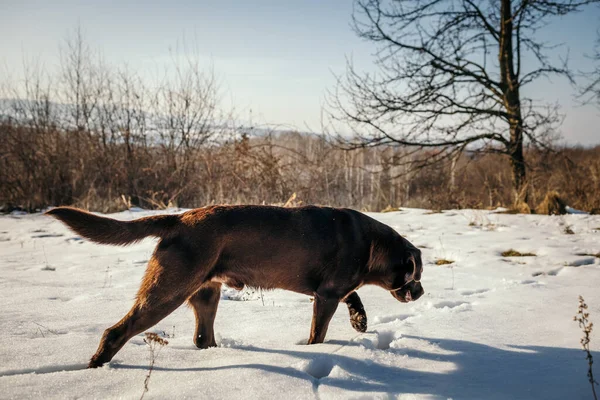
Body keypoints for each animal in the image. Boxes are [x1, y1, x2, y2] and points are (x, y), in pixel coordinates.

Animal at [45, 205, 422, 368]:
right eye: (416, 273)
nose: (420, 293)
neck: (370, 244)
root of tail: (178, 218)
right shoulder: (326, 294)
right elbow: (320, 331)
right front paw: (317, 350)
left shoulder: (329, 290)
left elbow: (353, 294)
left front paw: (360, 320)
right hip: (168, 290)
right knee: (116, 331)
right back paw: (96, 366)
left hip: (205, 292)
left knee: (202, 338)